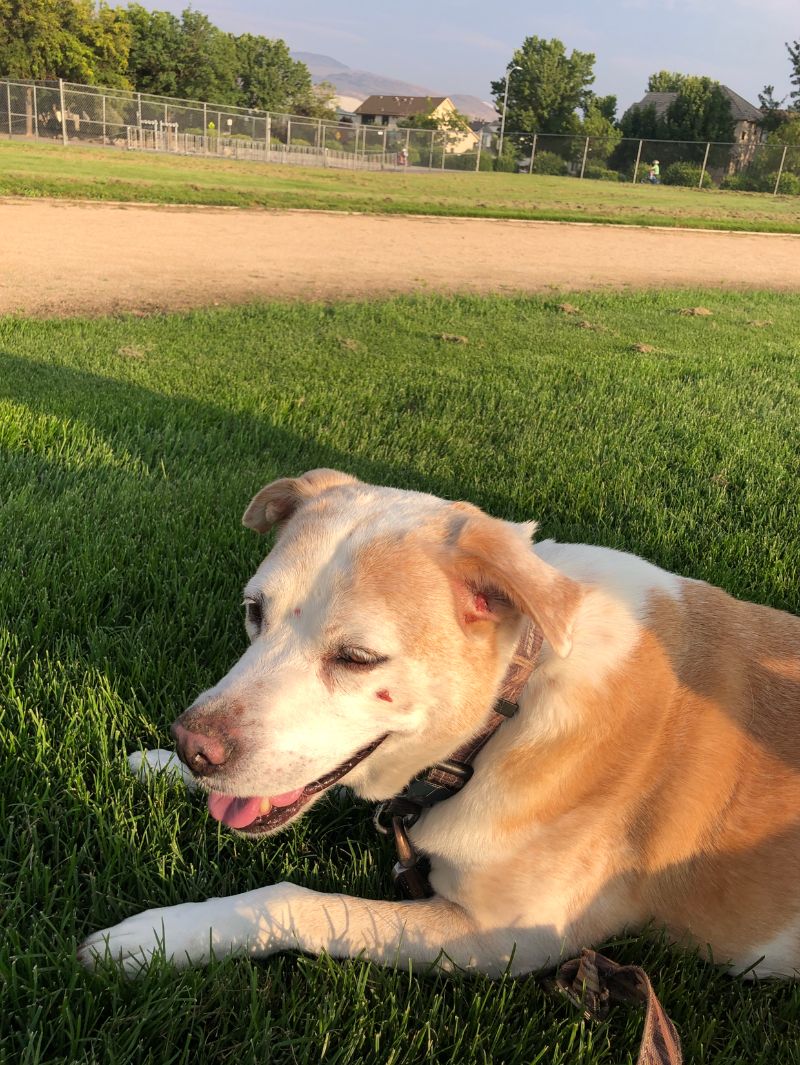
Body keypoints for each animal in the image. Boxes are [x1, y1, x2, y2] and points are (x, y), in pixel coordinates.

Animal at [79, 470, 800, 975]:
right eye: (254, 611)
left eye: (357, 658)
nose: (192, 747)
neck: (510, 705)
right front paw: (155, 765)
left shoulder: (508, 938)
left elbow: (294, 898)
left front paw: (156, 937)